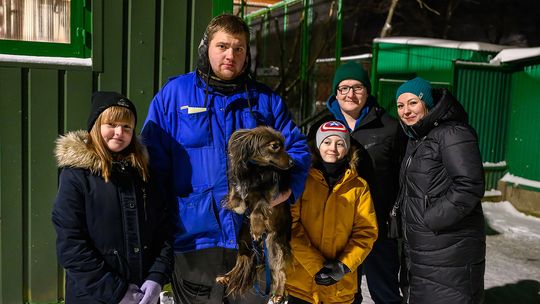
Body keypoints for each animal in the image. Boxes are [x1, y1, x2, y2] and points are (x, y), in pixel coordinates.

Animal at [215, 124, 294, 302]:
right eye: (275, 146)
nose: (293, 162)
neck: (255, 169)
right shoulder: (238, 186)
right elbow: (236, 196)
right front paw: (238, 205)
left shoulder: (267, 198)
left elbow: (257, 210)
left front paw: (257, 229)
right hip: (243, 240)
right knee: (242, 260)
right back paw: (227, 276)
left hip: (272, 243)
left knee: (280, 270)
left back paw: (278, 293)